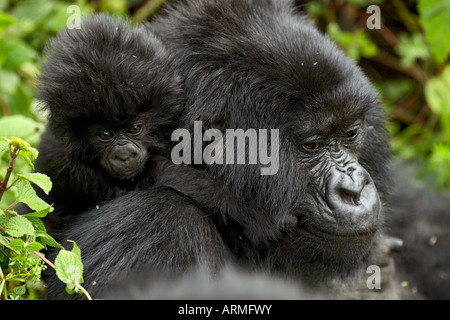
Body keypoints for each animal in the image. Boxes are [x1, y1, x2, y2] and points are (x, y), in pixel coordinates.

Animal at [37, 11, 294, 242]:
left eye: (135, 129)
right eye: (105, 134)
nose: (124, 155)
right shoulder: (80, 170)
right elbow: (165, 174)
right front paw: (254, 215)